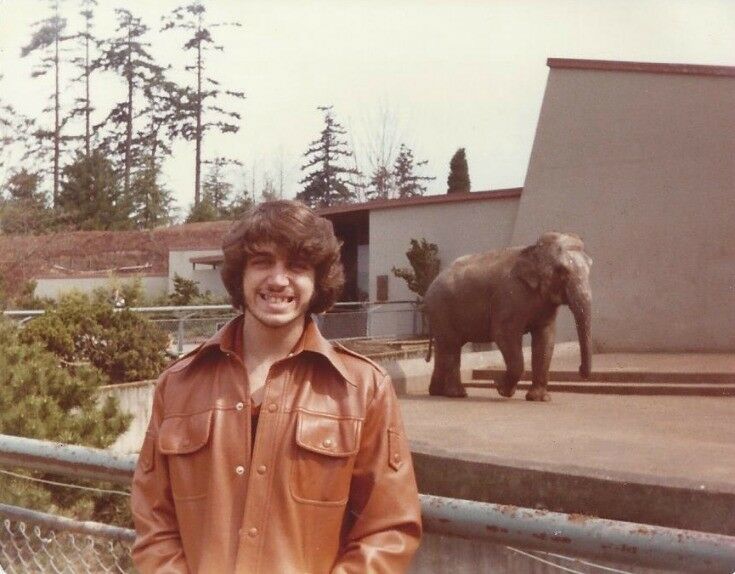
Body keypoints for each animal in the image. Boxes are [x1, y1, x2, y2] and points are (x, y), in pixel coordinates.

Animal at [426, 232, 592, 402]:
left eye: (590, 267)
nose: (580, 371)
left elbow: (545, 338)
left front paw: (540, 398)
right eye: (562, 270)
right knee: (451, 346)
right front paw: (501, 389)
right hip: (441, 309)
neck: (532, 250)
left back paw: (437, 392)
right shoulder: (509, 296)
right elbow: (504, 334)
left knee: (443, 346)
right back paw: (458, 394)